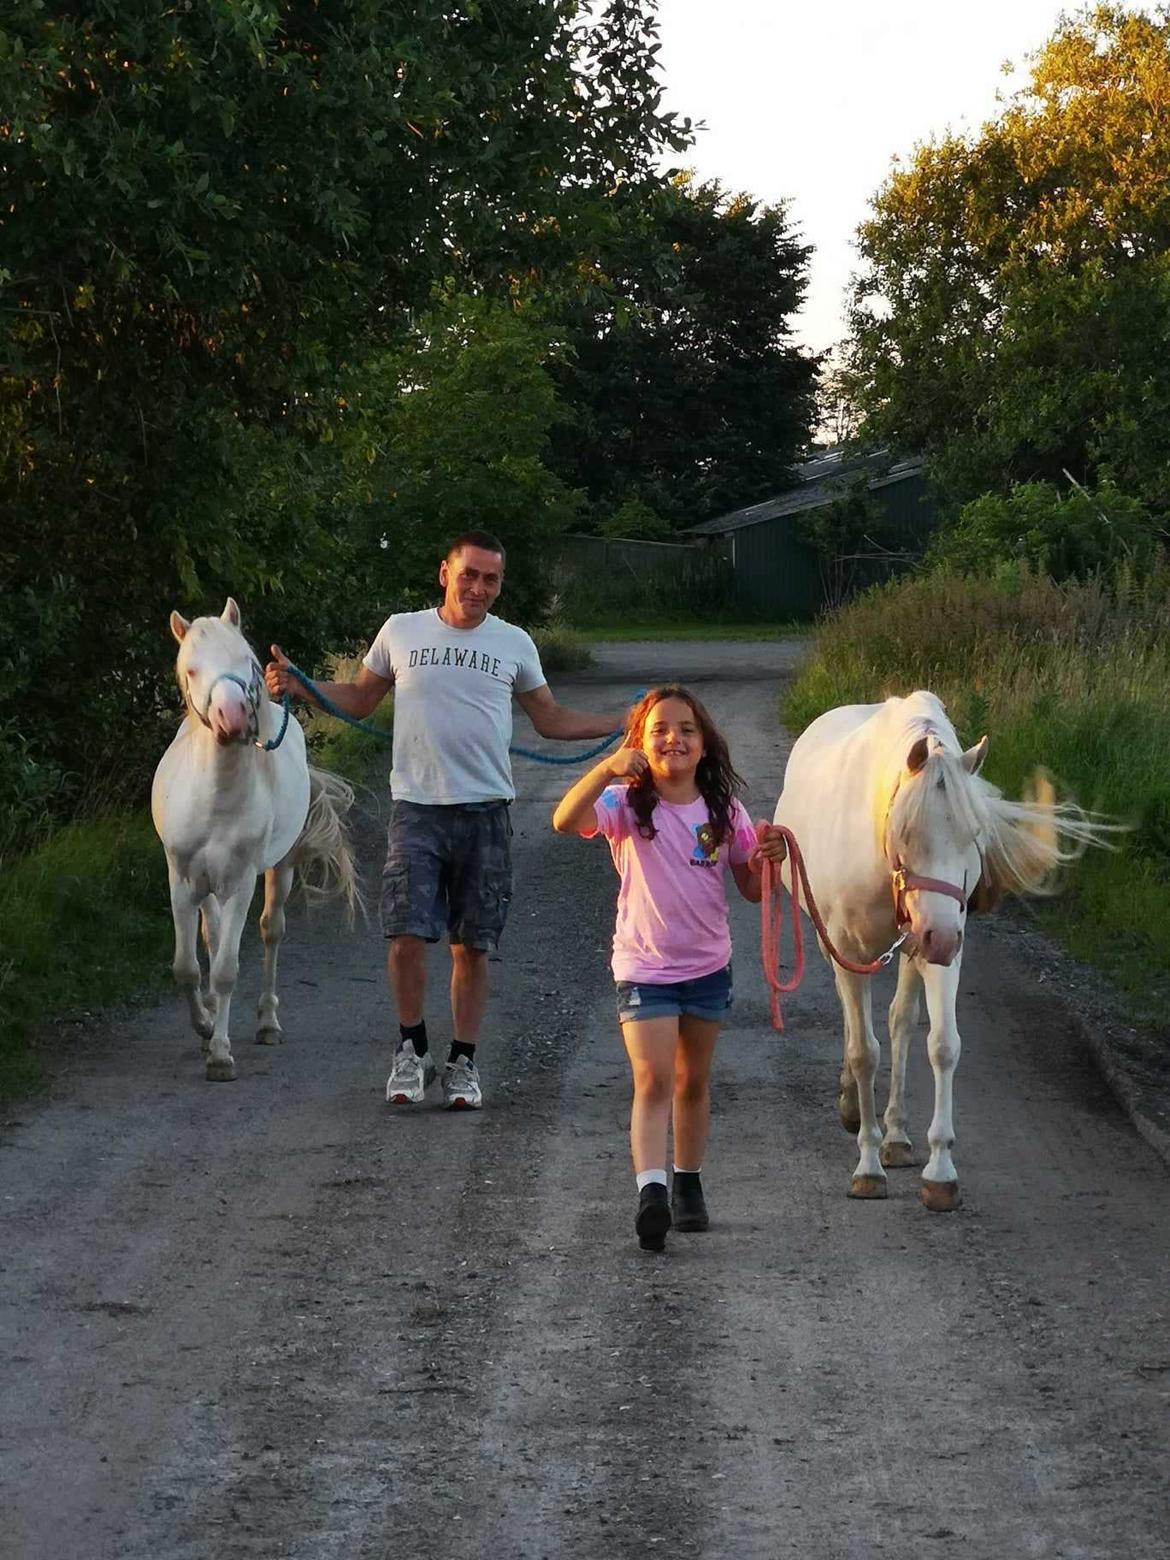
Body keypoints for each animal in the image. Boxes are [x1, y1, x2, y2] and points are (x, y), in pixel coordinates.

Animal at [153, 599, 360, 1085]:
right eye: (191, 670)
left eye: (247, 662)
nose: (232, 720)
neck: (215, 797)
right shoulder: (182, 881)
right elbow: (186, 967)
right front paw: (205, 1026)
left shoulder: (240, 884)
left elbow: (227, 970)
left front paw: (221, 1055)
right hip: (206, 887)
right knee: (210, 936)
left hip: (278, 868)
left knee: (271, 931)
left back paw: (267, 1023)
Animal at [773, 689, 1110, 1210]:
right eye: (907, 833)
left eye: (974, 836)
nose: (943, 936)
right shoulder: (851, 950)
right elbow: (864, 1052)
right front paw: (867, 1167)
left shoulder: (941, 949)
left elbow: (942, 1045)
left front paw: (939, 1170)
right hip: (843, 945)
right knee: (854, 1026)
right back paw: (855, 1107)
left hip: (917, 950)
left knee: (899, 1022)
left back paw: (895, 1136)